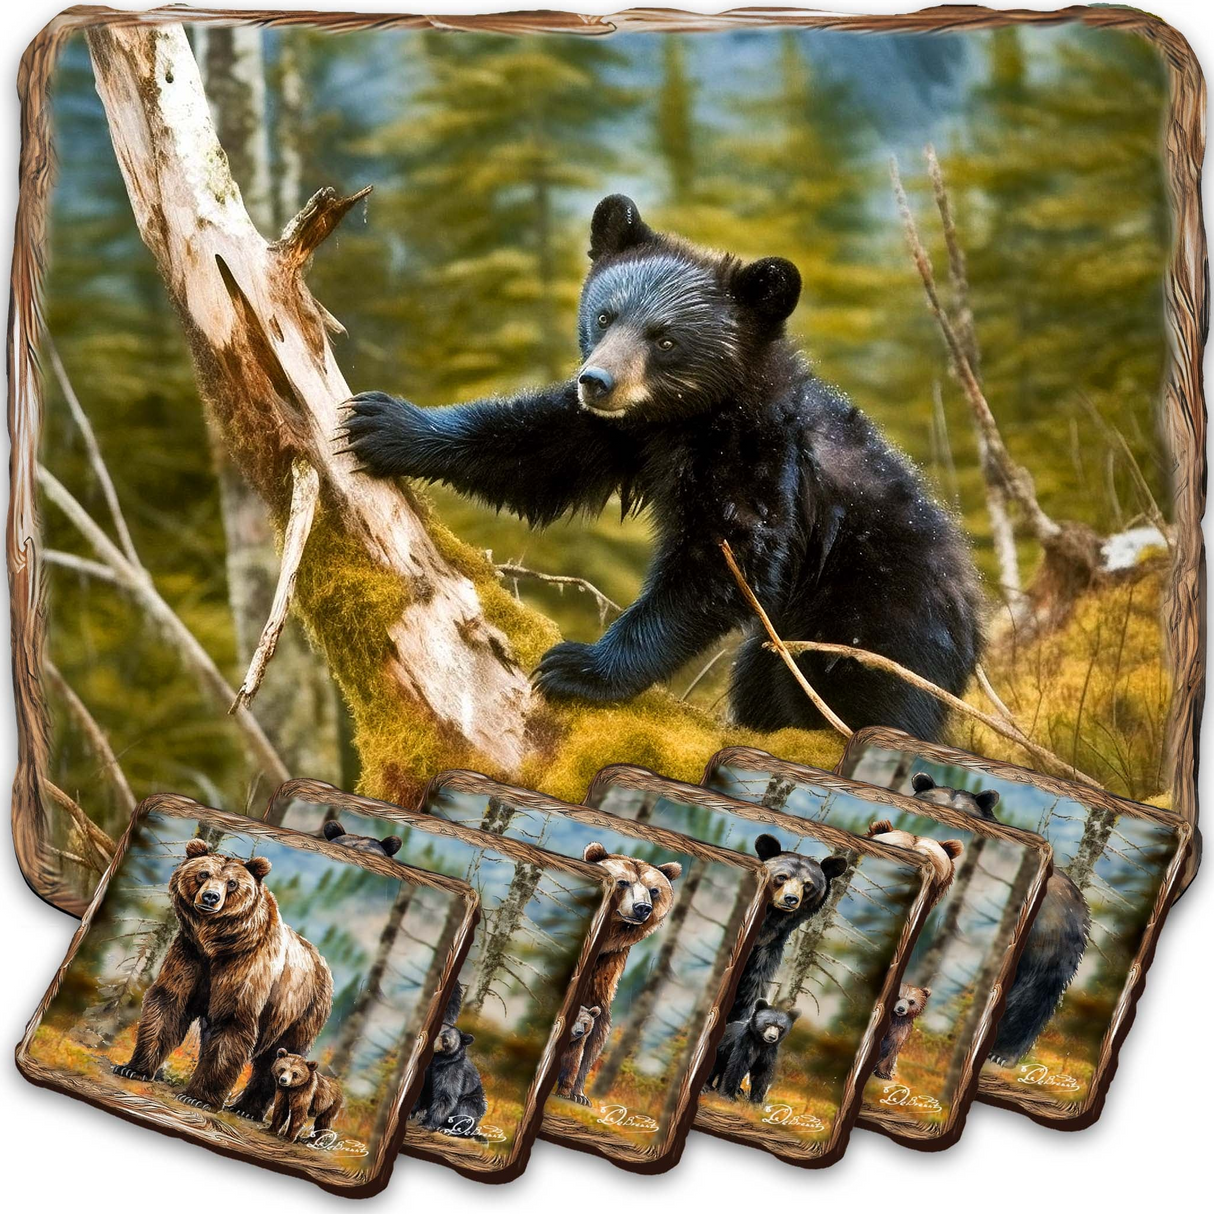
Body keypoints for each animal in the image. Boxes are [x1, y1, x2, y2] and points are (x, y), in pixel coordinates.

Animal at [113, 839, 333, 1118]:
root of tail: (322, 961)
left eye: (232, 883)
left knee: (280, 1052)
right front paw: (133, 1068)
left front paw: (198, 1098)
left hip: (299, 1009)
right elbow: (168, 1004)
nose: (211, 896)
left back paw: (247, 1109)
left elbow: (232, 1022)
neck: (217, 943)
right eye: (203, 874)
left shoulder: (245, 968)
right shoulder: (190, 956)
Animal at [340, 194, 981, 741]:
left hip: (874, 620)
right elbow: (538, 449)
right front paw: (383, 423)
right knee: (762, 684)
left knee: (871, 698)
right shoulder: (621, 433)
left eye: (665, 339)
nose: (596, 381)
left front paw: (578, 666)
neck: (691, 420)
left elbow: (719, 563)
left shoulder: (759, 463)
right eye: (604, 316)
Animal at [554, 841, 681, 1104]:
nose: (642, 908)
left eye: (654, 890)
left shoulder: (607, 965)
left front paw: (578, 1094)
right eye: (623, 882)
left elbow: (595, 1034)